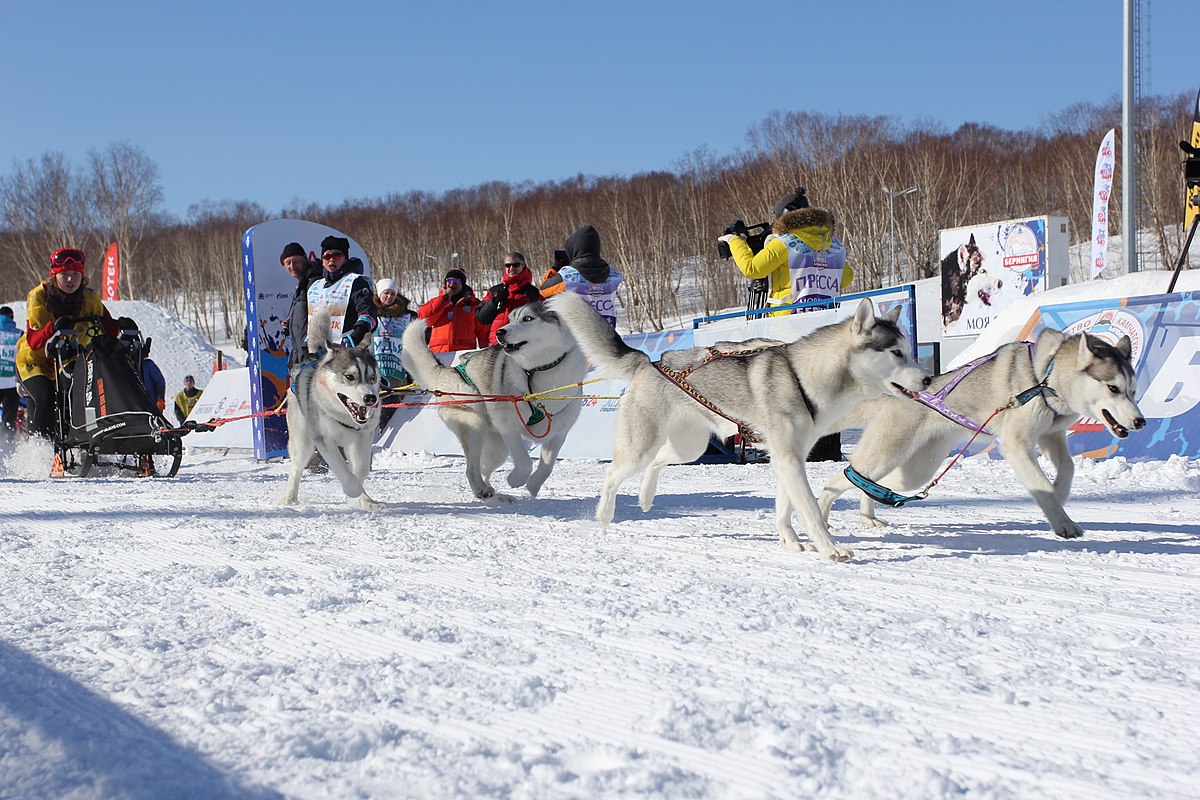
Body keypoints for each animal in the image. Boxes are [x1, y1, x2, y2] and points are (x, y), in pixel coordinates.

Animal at [278, 309, 381, 510]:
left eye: (372, 377)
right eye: (350, 377)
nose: (370, 399)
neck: (344, 417)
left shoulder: (362, 437)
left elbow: (361, 470)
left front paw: (363, 499)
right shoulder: (324, 440)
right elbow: (344, 471)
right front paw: (352, 491)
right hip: (302, 440)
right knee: (297, 466)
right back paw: (288, 497)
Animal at [403, 299, 585, 501]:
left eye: (527, 318)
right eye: (511, 318)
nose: (499, 332)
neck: (537, 370)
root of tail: (446, 370)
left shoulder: (559, 432)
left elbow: (547, 466)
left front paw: (532, 487)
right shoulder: (509, 428)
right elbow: (525, 462)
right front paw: (516, 479)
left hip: (498, 449)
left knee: (484, 469)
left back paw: (496, 494)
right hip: (474, 425)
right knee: (472, 469)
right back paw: (482, 490)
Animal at [549, 291, 931, 561]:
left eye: (908, 350)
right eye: (896, 352)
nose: (927, 378)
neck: (803, 377)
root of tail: (651, 362)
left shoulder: (789, 457)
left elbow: (785, 507)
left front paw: (790, 541)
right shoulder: (787, 458)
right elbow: (810, 509)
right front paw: (830, 548)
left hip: (689, 447)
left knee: (657, 463)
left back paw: (645, 497)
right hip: (640, 447)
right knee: (612, 474)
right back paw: (604, 513)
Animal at [820, 328, 1147, 542]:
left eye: (1133, 390)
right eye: (1113, 388)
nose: (1140, 421)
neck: (1045, 377)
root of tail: (892, 393)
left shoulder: (1051, 435)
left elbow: (1067, 468)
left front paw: (1060, 493)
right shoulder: (1016, 444)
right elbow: (1041, 483)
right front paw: (1063, 522)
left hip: (914, 471)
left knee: (870, 485)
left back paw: (868, 518)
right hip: (888, 453)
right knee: (839, 478)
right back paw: (823, 514)